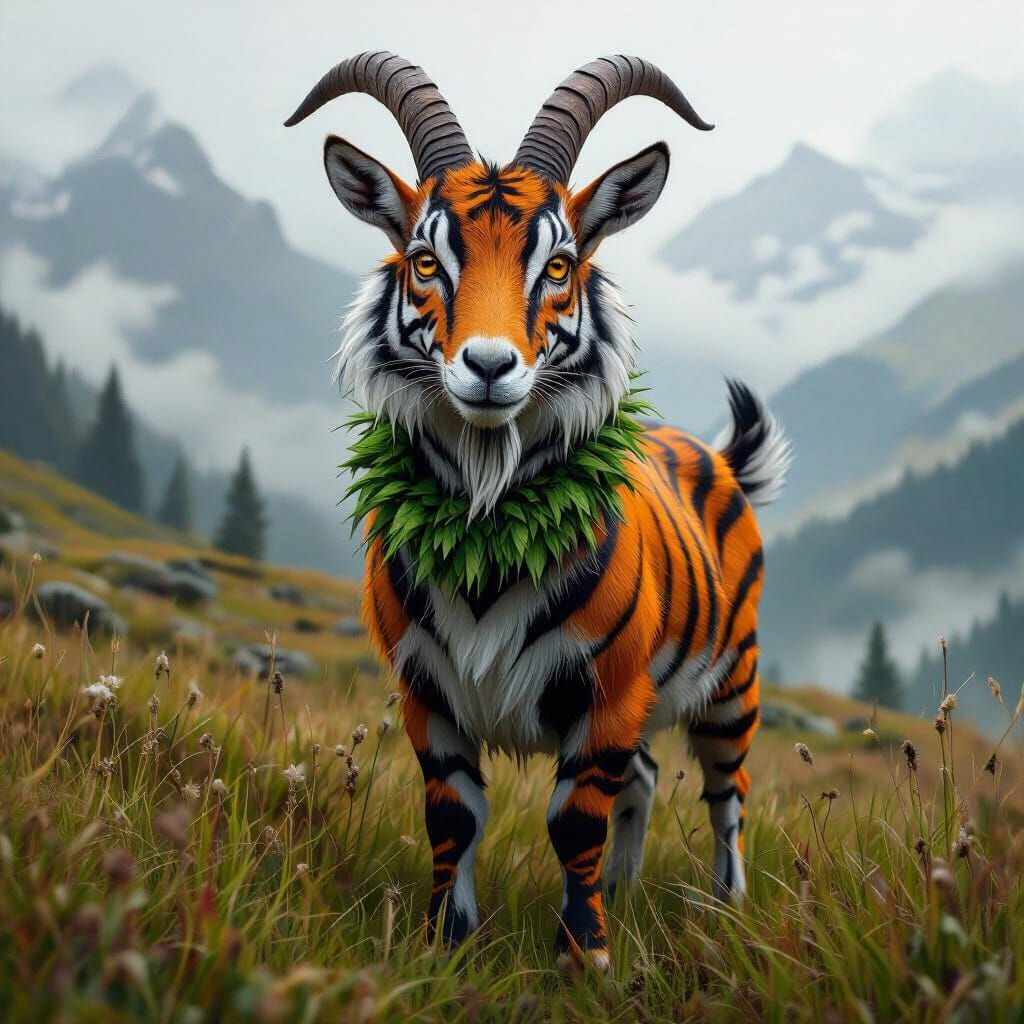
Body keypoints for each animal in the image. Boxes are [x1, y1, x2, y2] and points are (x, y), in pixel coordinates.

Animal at [286, 52, 791, 969]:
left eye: (559, 265)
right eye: (424, 259)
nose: (489, 367)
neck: (488, 520)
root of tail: (718, 456)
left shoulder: (608, 692)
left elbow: (574, 822)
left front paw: (584, 957)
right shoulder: (427, 690)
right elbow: (453, 817)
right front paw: (445, 943)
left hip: (734, 678)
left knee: (725, 793)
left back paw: (724, 909)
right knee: (649, 780)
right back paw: (626, 892)